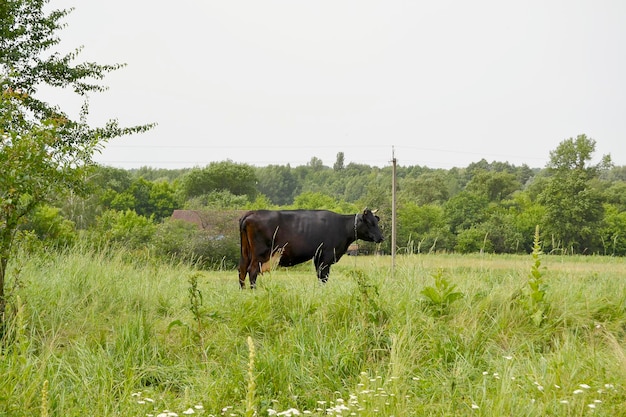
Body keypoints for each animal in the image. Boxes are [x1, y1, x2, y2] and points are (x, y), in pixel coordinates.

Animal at [238, 207, 380, 288]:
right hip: (260, 254)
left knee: (242, 270)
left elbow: (320, 276)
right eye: (370, 222)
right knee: (252, 271)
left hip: (246, 252)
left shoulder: (318, 257)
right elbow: (323, 277)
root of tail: (251, 213)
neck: (342, 227)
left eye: (376, 221)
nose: (381, 237)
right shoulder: (326, 256)